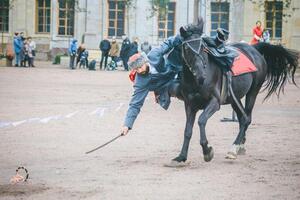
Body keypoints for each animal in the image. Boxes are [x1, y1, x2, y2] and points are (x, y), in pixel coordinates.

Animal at [170, 19, 298, 166]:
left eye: (203, 47)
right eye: (186, 48)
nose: (201, 75)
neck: (196, 82)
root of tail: (254, 50)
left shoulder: (214, 102)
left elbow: (201, 120)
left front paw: (207, 150)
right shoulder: (190, 105)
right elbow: (187, 131)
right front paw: (181, 156)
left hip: (252, 92)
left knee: (247, 119)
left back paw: (234, 148)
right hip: (234, 99)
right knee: (242, 118)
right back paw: (240, 146)